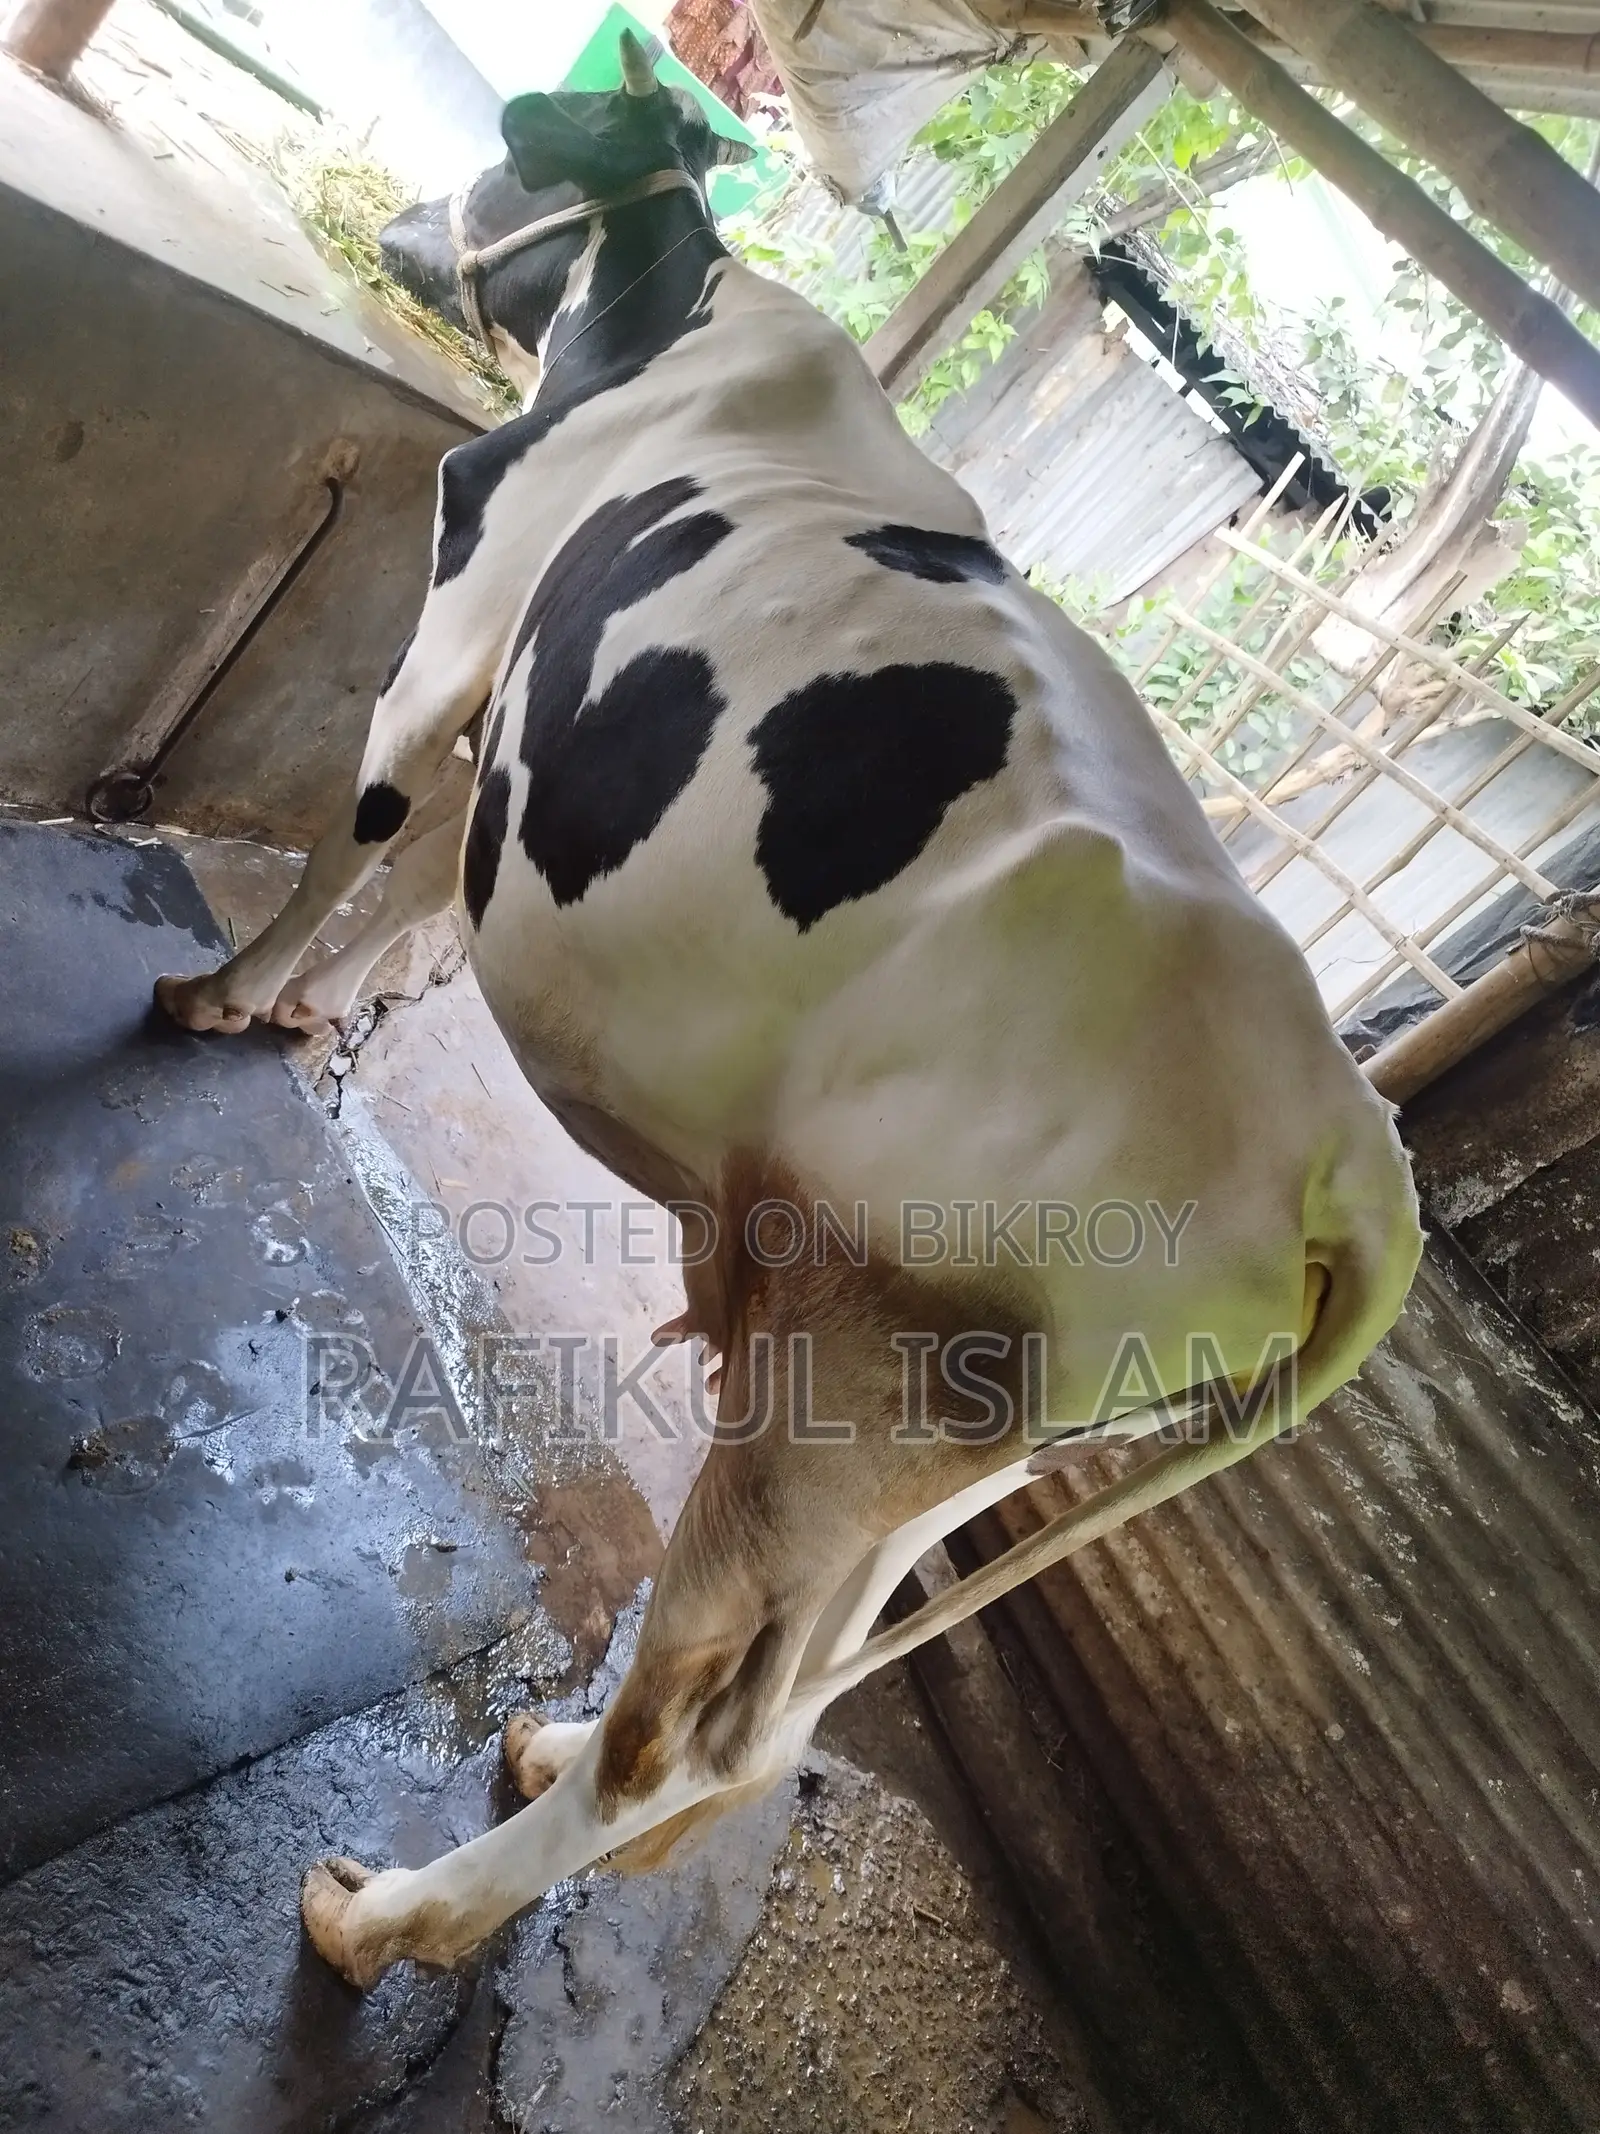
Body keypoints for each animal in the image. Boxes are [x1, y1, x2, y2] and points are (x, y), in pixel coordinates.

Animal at [155, 32, 1422, 1990]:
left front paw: (228, 994)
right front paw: (319, 1011)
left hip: (836, 1402)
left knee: (692, 1734)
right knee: (769, 1714)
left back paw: (395, 1915)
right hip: (941, 1451)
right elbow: (439, 863)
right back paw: (535, 1758)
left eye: (519, 145)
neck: (683, 321)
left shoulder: (465, 610)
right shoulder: (537, 686)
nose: (405, 212)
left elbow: (360, 827)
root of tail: (1357, 1155)